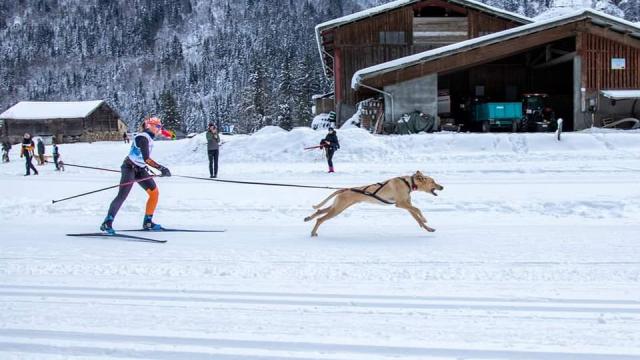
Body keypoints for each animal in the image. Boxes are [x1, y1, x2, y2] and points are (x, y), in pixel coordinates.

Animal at [302, 172, 442, 236]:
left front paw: (427, 227)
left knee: (319, 211)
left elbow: (416, 217)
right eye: (433, 181)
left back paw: (308, 218)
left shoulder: (407, 205)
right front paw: (425, 219)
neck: (408, 183)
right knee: (320, 219)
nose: (442, 187)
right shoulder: (400, 204)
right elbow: (418, 210)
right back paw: (313, 232)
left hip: (338, 207)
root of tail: (344, 189)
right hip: (338, 209)